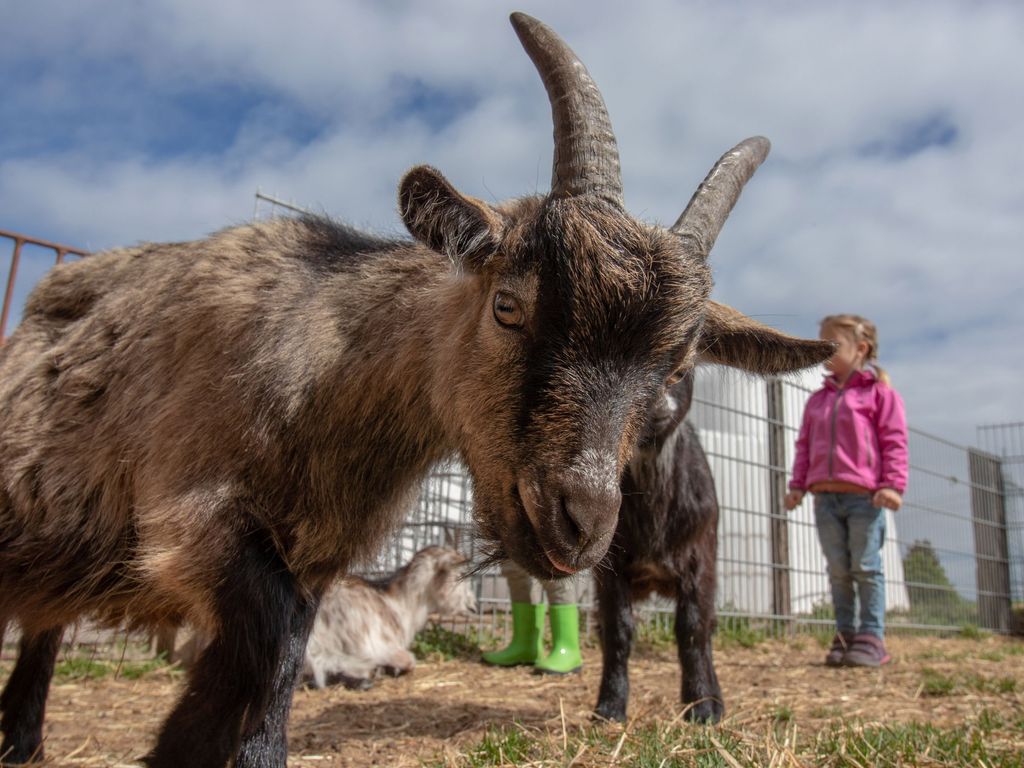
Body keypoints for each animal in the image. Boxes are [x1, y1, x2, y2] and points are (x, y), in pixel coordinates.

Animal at [302, 545, 474, 690]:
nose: (473, 607)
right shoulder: (375, 645)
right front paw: (391, 669)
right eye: (460, 575)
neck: (401, 604)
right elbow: (410, 660)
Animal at [594, 372, 724, 723]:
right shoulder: (609, 571)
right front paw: (610, 706)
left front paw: (702, 706)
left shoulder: (700, 560)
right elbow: (617, 629)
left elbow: (693, 628)